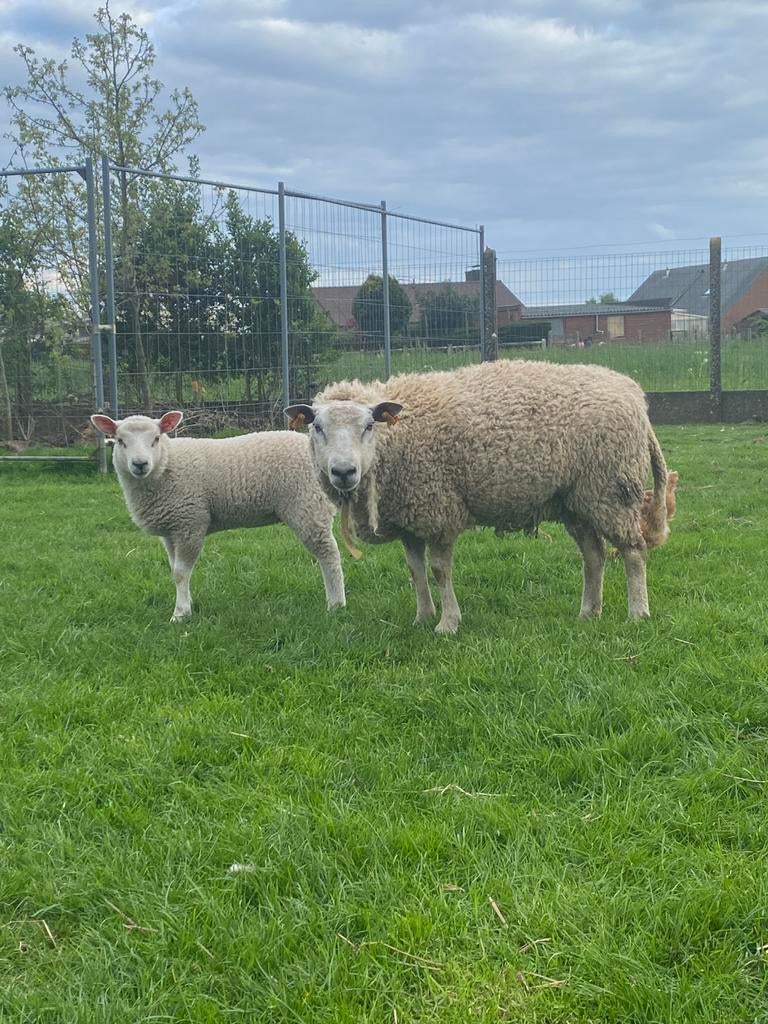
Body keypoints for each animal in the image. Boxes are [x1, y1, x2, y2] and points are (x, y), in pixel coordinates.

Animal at [90, 411, 345, 621]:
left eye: (155, 439)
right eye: (120, 441)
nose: (140, 464)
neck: (166, 464)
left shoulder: (190, 522)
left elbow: (181, 573)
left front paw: (180, 614)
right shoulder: (171, 530)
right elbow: (174, 571)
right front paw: (187, 603)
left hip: (308, 505)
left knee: (329, 554)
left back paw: (336, 604)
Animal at [285, 359, 669, 633]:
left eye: (368, 426)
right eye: (317, 427)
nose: (343, 472)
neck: (395, 443)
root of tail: (634, 394)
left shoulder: (438, 508)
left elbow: (440, 571)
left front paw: (448, 624)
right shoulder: (410, 515)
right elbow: (415, 570)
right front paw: (423, 616)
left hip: (611, 488)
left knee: (633, 550)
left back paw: (638, 612)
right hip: (577, 499)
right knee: (594, 555)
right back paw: (589, 612)